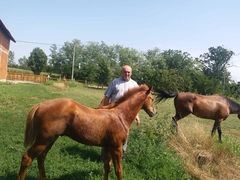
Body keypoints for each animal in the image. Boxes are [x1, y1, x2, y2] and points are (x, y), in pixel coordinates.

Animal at [17, 84, 156, 180]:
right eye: (152, 98)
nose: (153, 112)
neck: (120, 116)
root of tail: (40, 104)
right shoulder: (116, 148)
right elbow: (119, 171)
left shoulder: (108, 147)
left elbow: (107, 167)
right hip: (43, 140)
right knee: (27, 158)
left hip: (49, 140)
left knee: (41, 157)